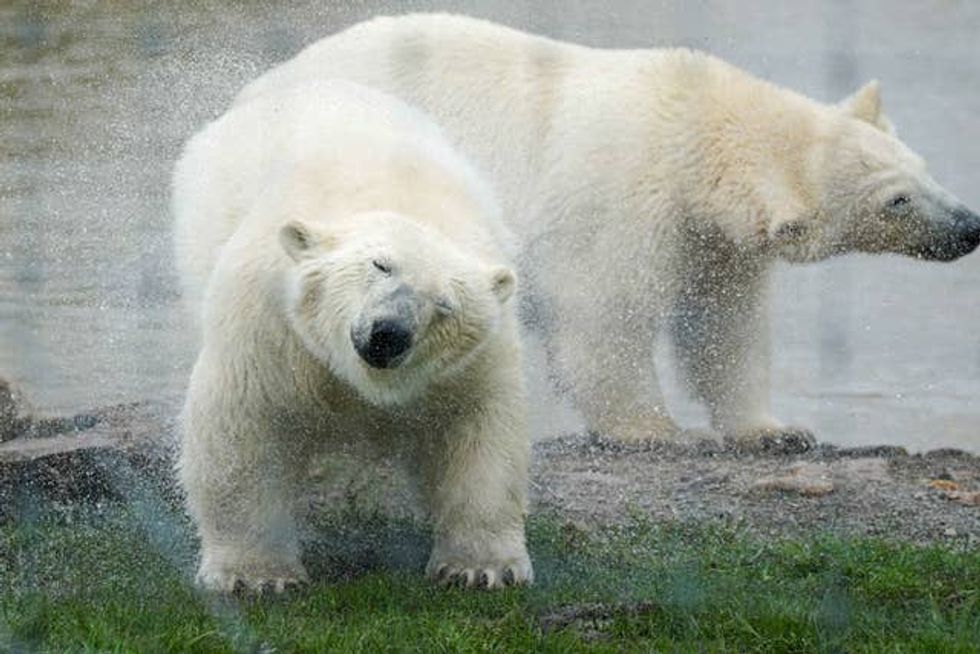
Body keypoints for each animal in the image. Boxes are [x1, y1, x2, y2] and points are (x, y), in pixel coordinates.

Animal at [172, 79, 532, 592]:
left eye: (445, 304)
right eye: (380, 265)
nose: (389, 334)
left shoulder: (474, 359)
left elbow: (482, 432)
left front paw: (480, 568)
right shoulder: (271, 323)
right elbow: (242, 423)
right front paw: (257, 576)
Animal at [236, 14, 980, 447]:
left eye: (923, 169)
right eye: (897, 202)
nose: (969, 227)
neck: (696, 131)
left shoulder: (712, 243)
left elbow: (724, 327)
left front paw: (775, 431)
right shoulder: (623, 201)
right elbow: (606, 316)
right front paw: (654, 430)